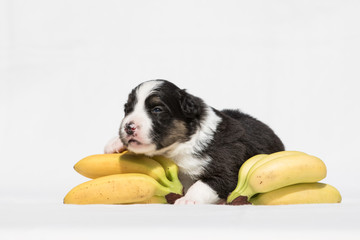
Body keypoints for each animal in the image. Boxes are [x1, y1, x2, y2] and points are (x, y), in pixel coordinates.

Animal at [104, 80, 284, 204]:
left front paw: (188, 199)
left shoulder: (227, 168)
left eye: (157, 109)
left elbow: (203, 184)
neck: (178, 148)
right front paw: (115, 142)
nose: (128, 127)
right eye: (127, 109)